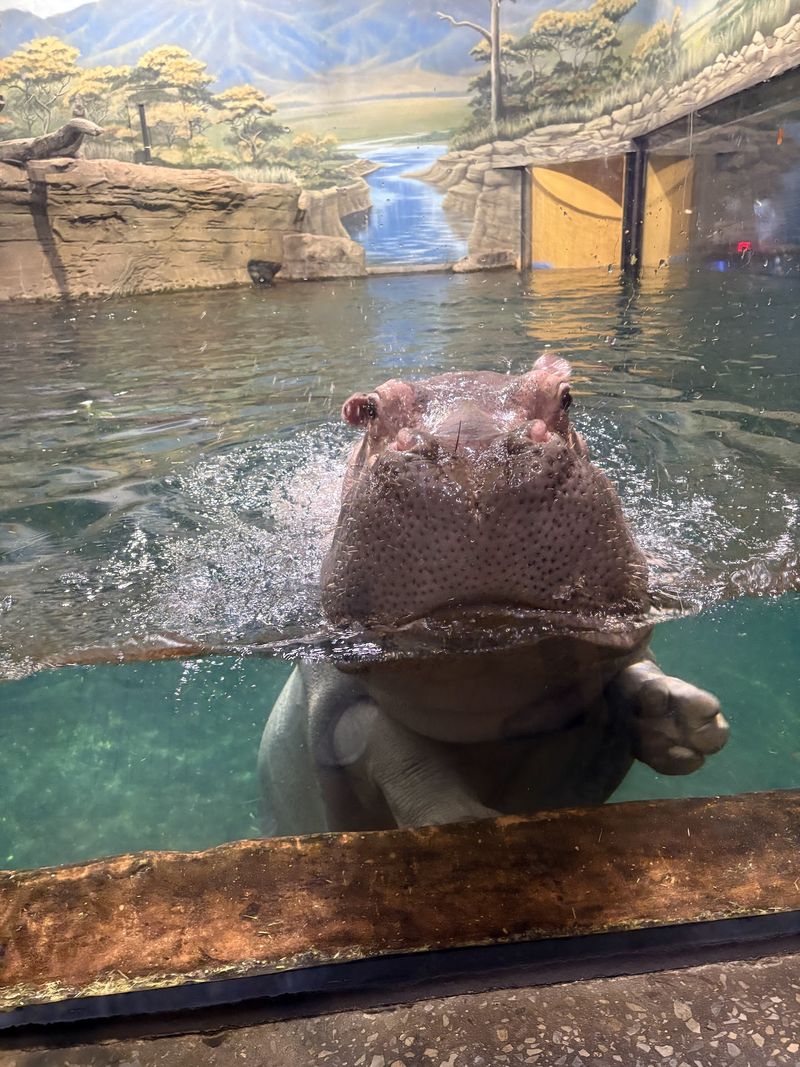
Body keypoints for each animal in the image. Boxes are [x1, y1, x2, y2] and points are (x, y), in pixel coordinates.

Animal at [258, 355, 729, 836]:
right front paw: (462, 821)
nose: (475, 451)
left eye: (566, 397)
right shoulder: (336, 702)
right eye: (370, 409)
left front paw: (682, 717)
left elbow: (631, 671)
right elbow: (397, 752)